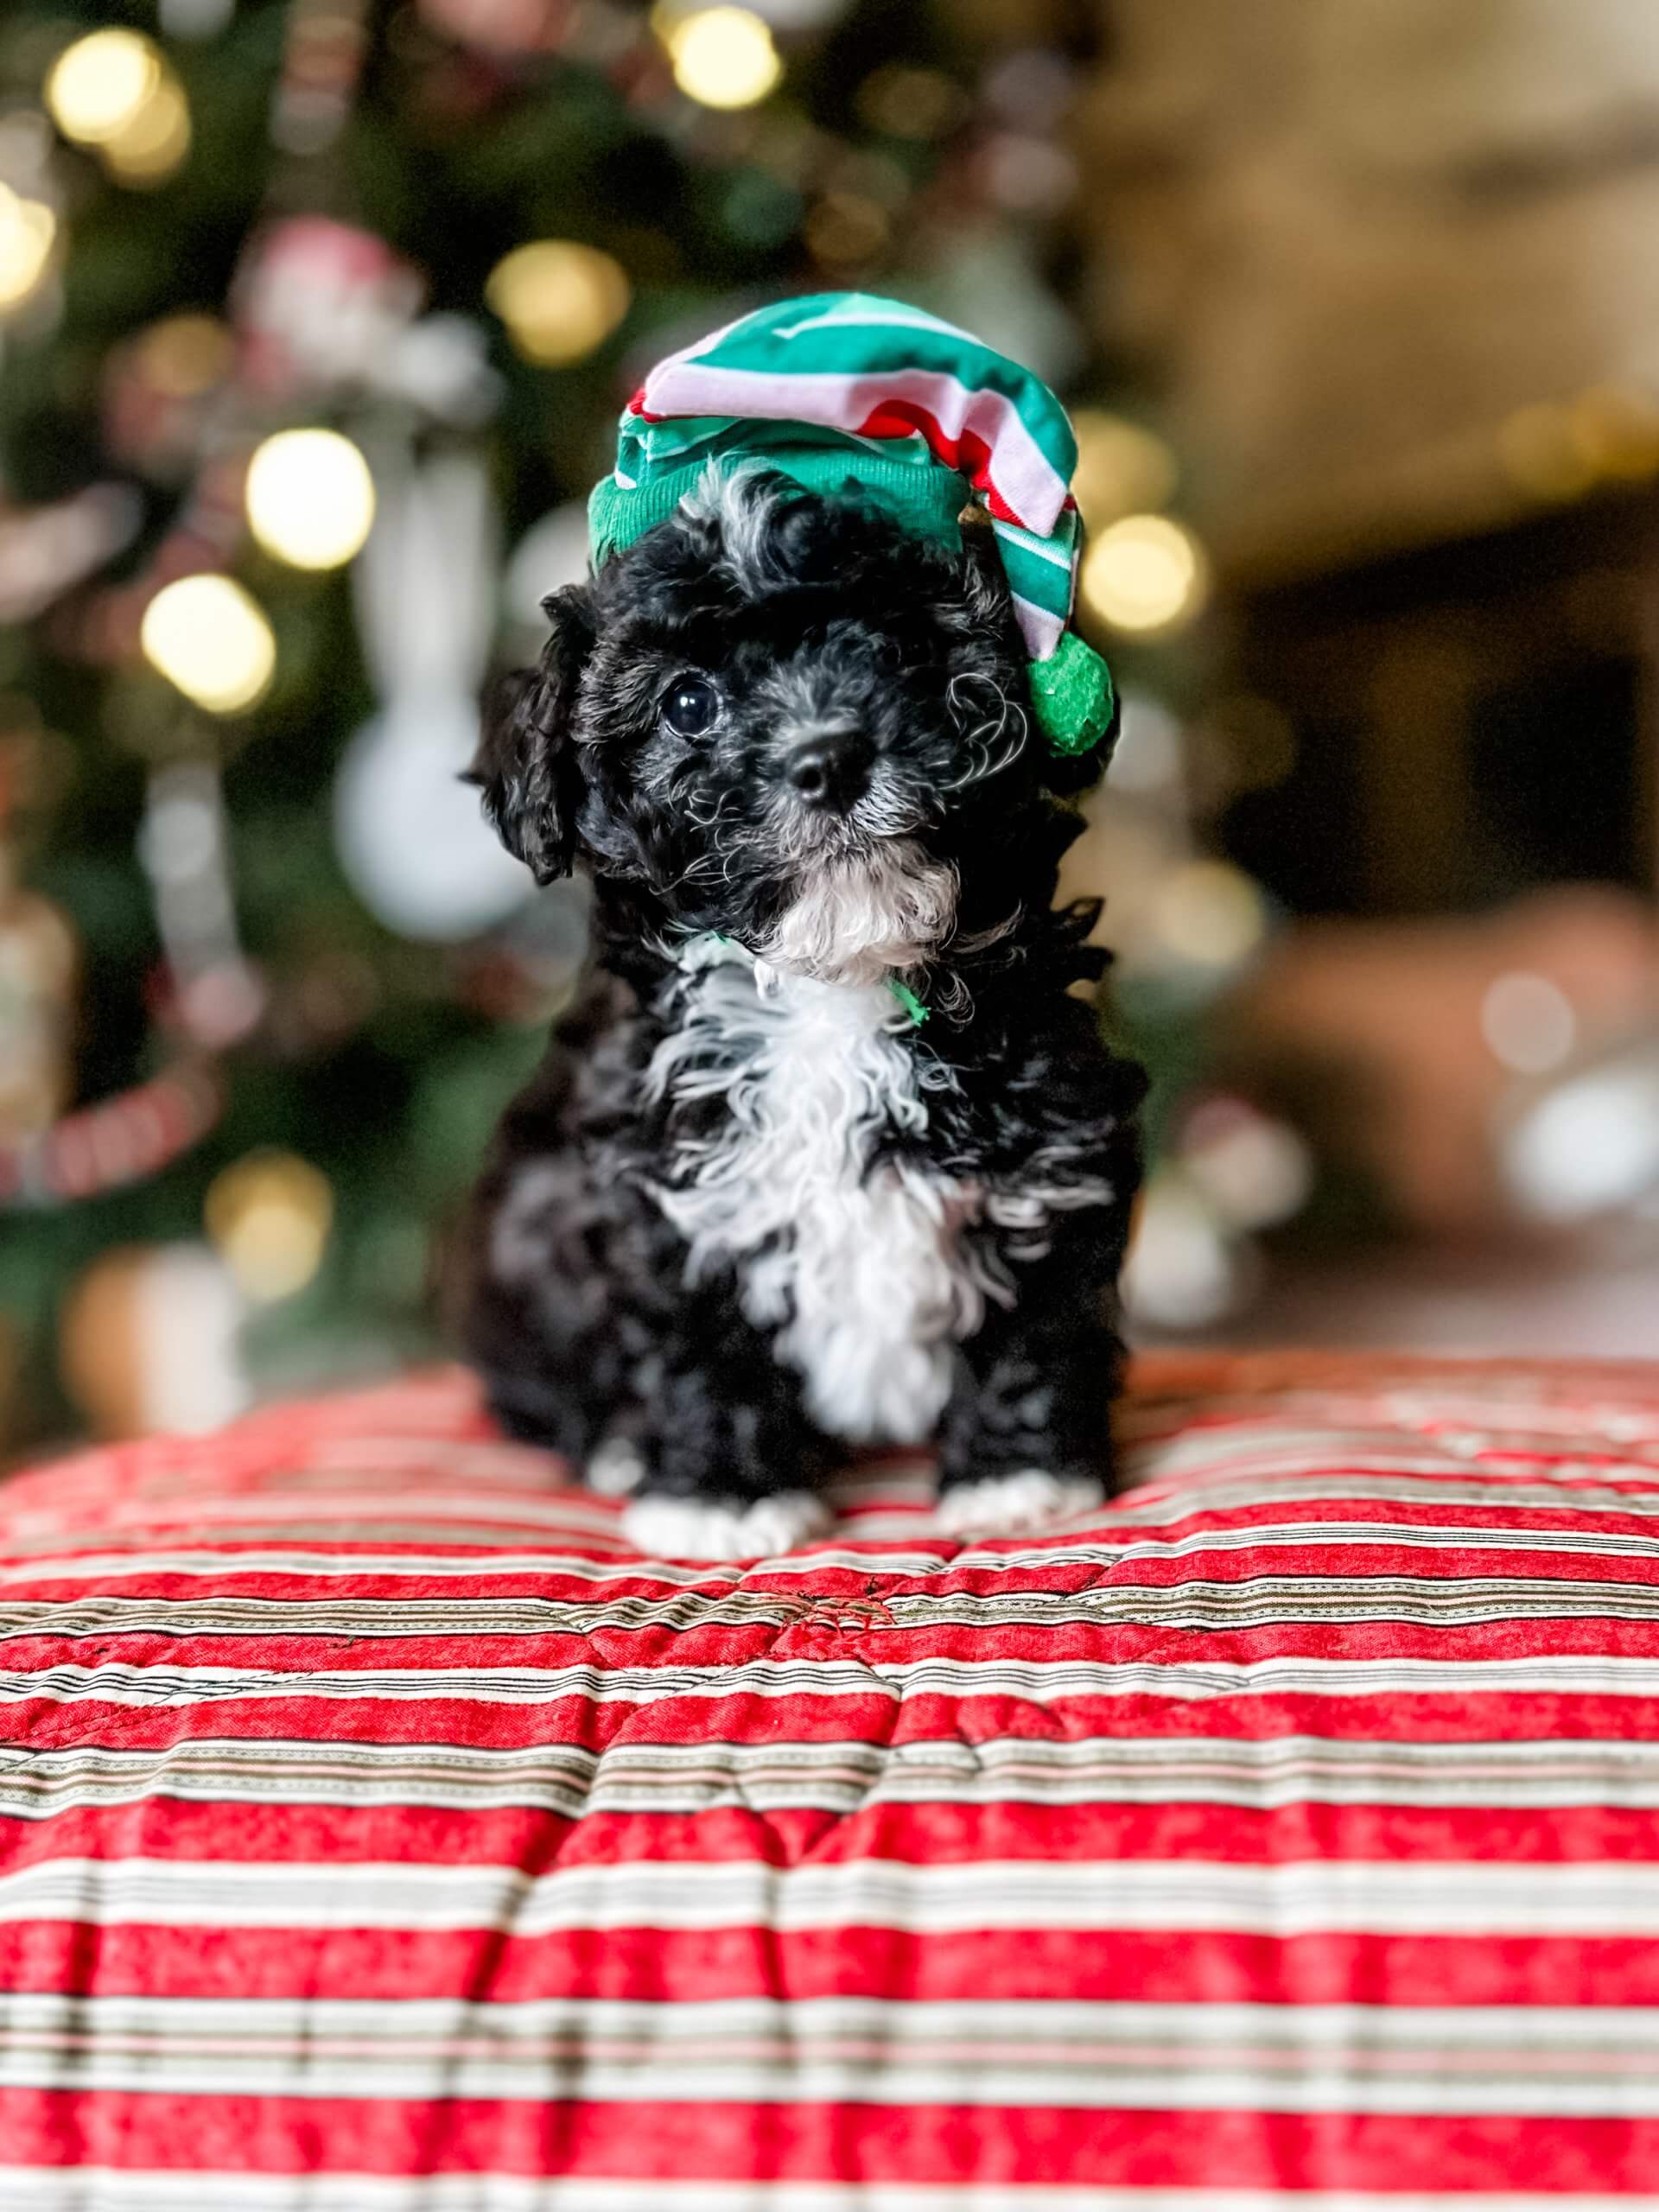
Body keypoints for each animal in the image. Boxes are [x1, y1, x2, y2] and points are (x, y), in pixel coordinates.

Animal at [462, 471, 1150, 1557]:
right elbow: (698, 1338)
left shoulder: (1058, 1147)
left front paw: (1016, 1476)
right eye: (688, 702)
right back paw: (616, 1443)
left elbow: (1038, 1320)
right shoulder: (660, 1192)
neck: (836, 983)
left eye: (900, 646)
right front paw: (722, 1496)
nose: (829, 758)